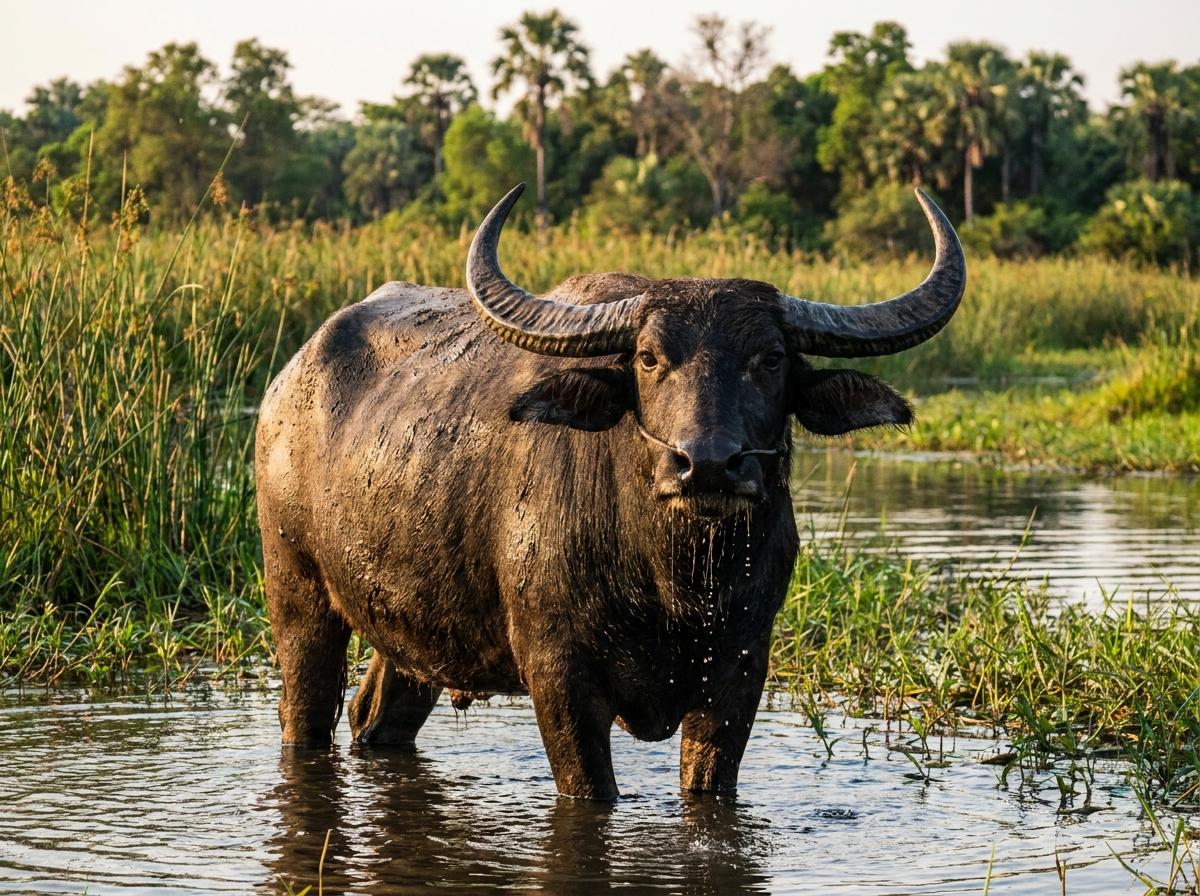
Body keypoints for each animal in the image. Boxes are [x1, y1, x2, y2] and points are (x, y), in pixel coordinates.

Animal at [255, 184, 966, 800]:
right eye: (648, 358)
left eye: (771, 359)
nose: (708, 464)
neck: (675, 581)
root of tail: (290, 381)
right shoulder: (558, 676)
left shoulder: (741, 671)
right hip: (297, 594)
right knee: (305, 716)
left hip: (413, 631)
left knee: (376, 717)